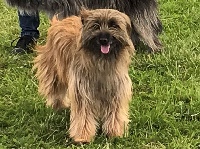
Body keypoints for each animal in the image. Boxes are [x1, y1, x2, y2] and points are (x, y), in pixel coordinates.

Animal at [33, 9, 135, 143]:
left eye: (114, 25)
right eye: (96, 25)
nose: (104, 40)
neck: (101, 60)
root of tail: (59, 22)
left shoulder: (116, 90)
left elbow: (115, 113)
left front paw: (115, 132)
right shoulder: (82, 91)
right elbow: (84, 115)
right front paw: (83, 136)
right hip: (53, 70)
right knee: (55, 90)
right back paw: (58, 106)